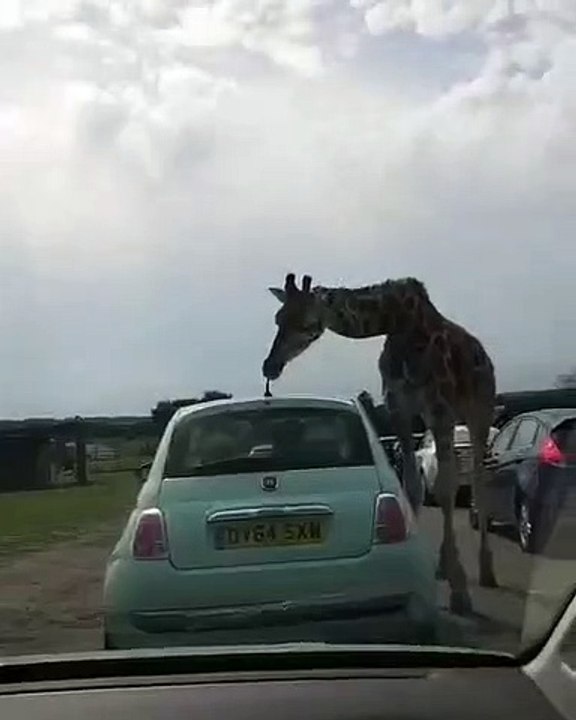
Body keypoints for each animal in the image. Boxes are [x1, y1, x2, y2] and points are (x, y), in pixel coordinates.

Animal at [262, 272, 497, 615]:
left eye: (308, 322)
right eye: (278, 318)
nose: (270, 366)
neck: (396, 322)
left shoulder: (439, 409)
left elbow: (443, 489)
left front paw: (460, 592)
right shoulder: (399, 409)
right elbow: (411, 486)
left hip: (479, 412)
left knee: (478, 480)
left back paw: (486, 569)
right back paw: (444, 565)